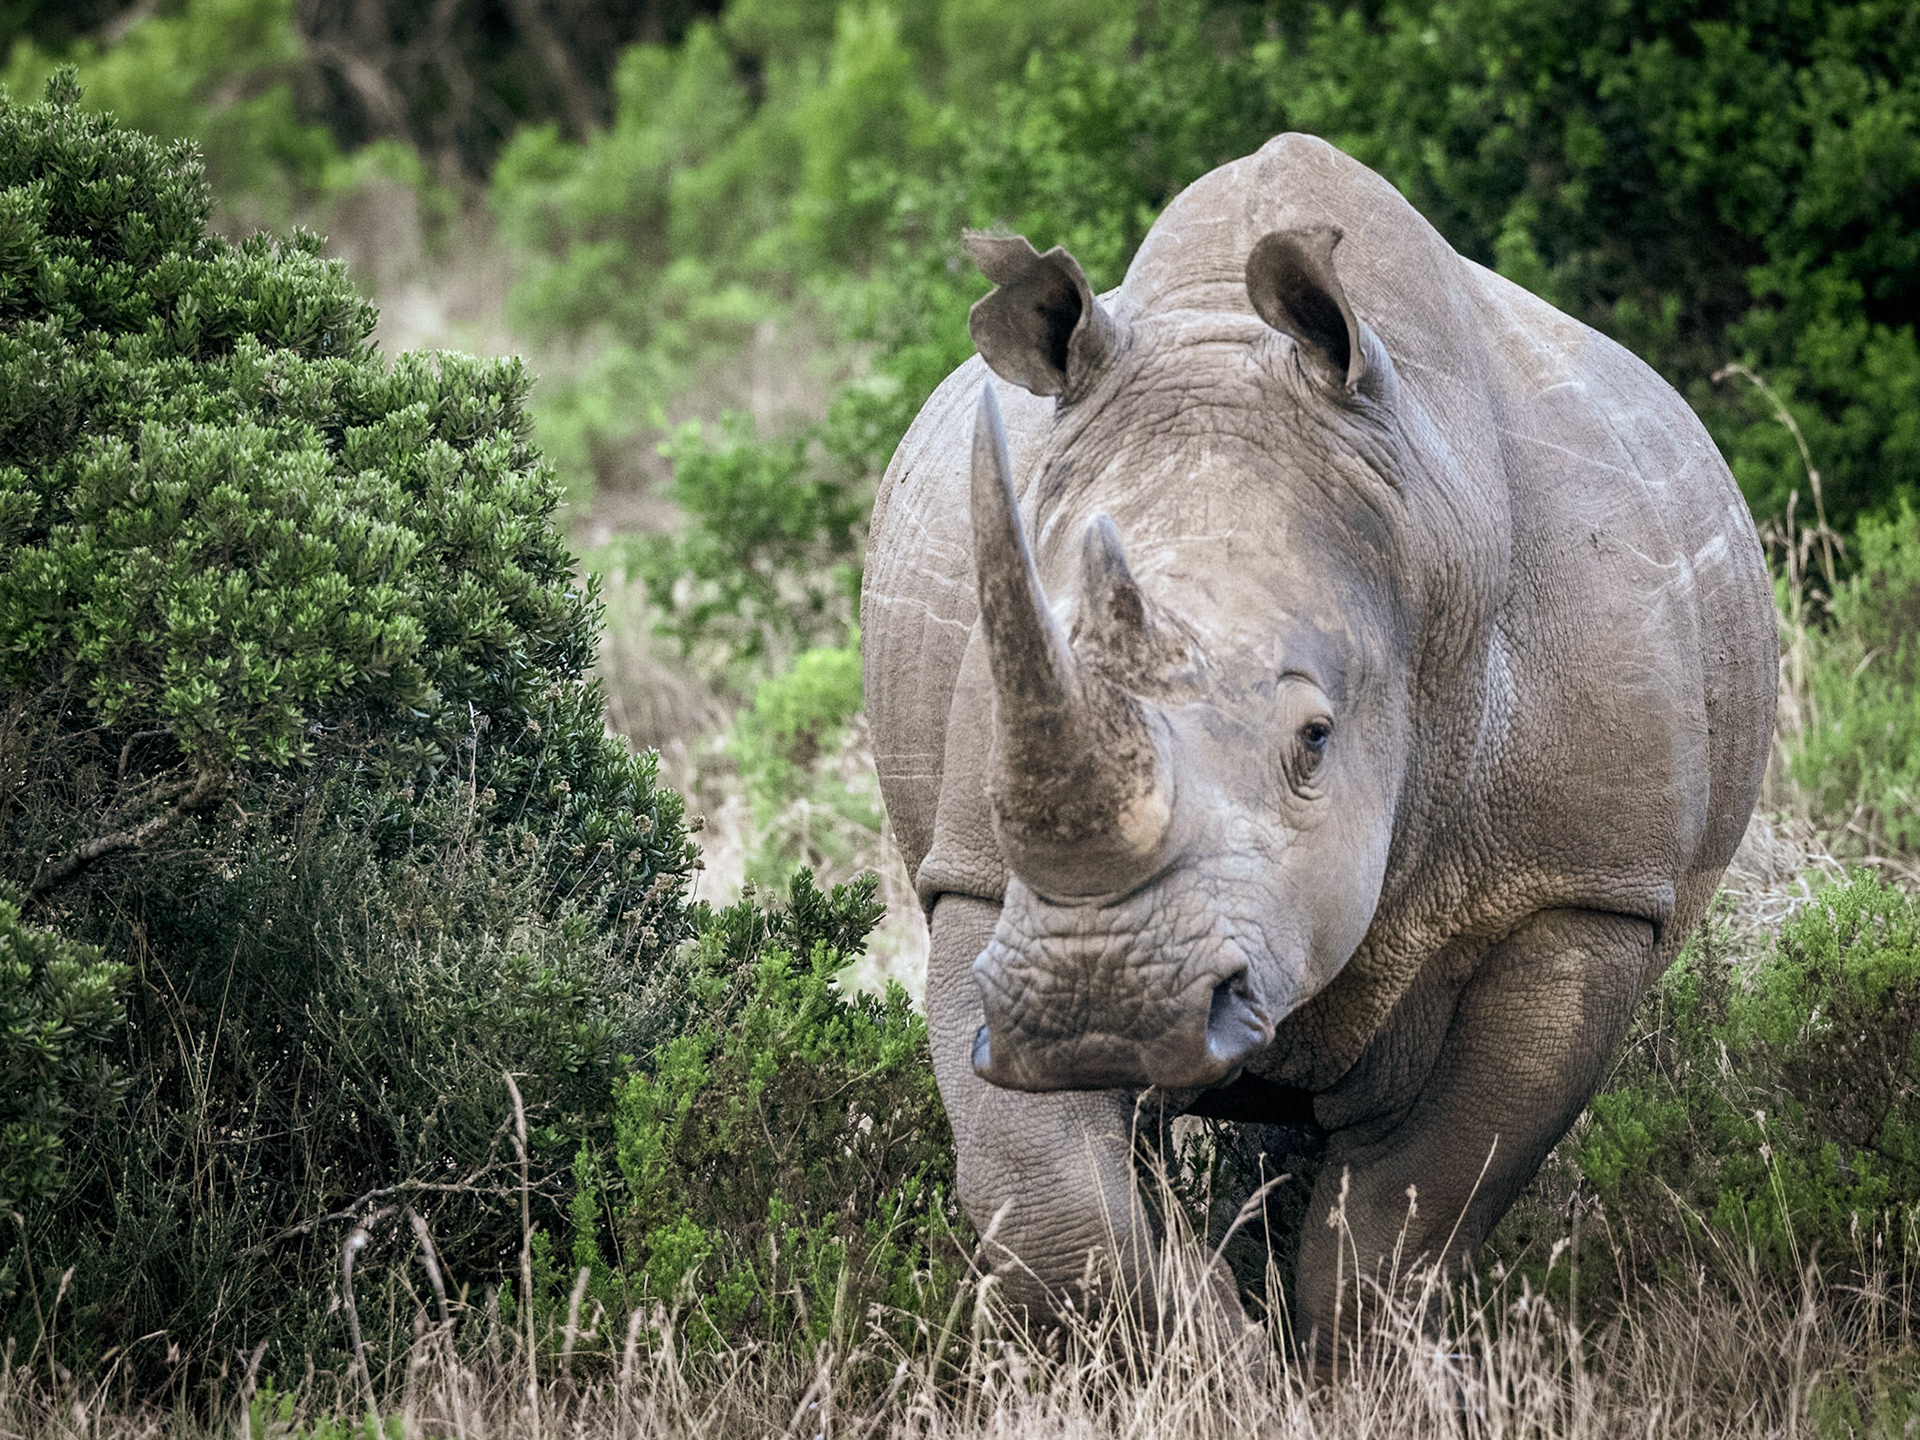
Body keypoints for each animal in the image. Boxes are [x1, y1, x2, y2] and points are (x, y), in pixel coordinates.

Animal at [860, 133, 1776, 1347]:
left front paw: (1356, 1362)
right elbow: (1052, 1202)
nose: (1098, 1009)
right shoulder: (976, 875)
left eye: (1313, 741)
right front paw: (1218, 1349)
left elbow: (1416, 1206)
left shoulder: (1583, 890)